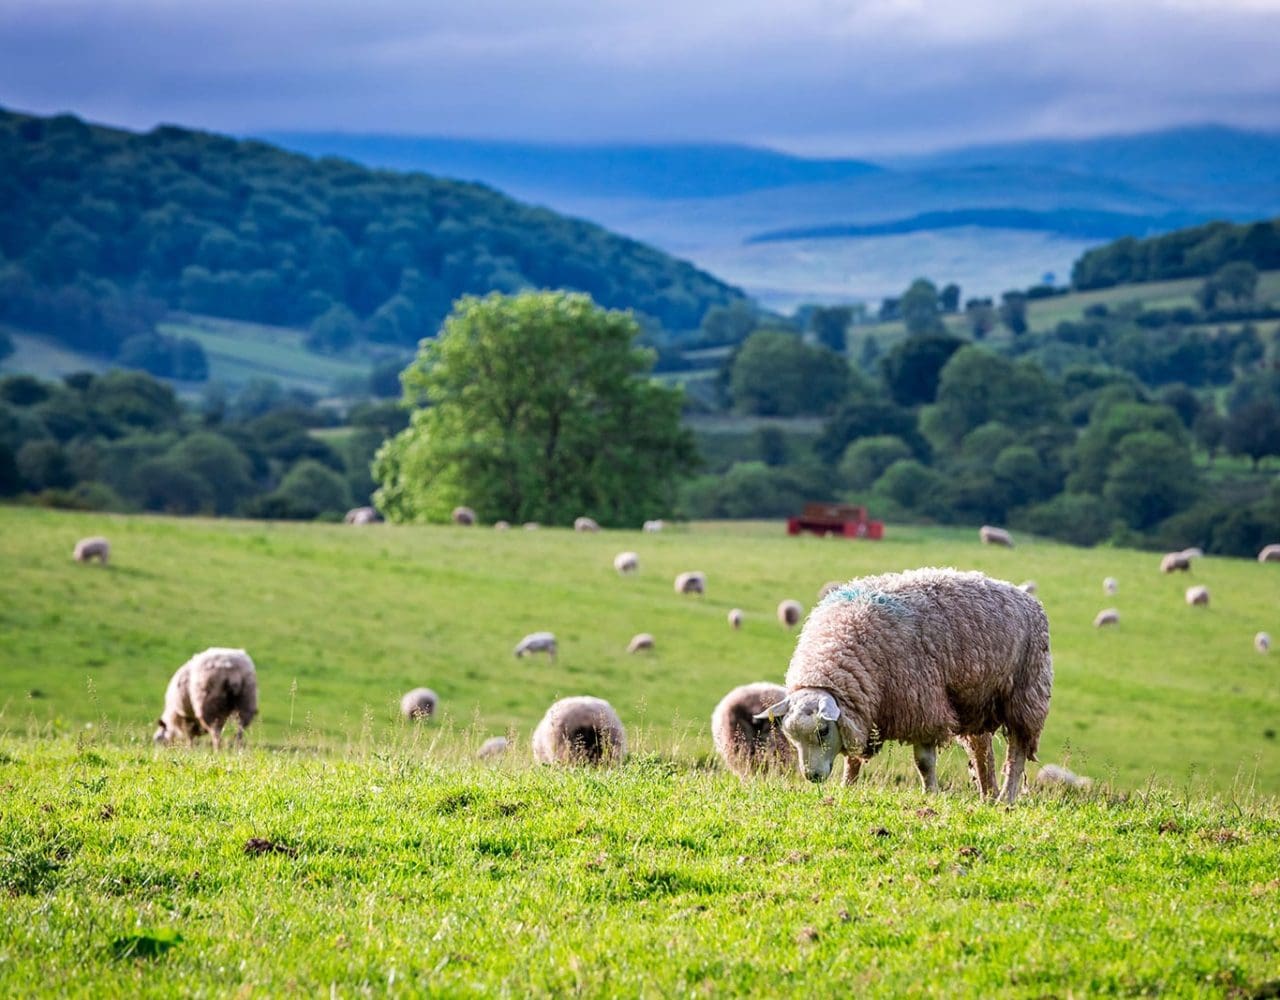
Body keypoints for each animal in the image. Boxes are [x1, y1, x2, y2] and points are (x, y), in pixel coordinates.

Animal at [752, 565, 1054, 809]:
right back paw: (988, 795)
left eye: (823, 730)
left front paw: (930, 793)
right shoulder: (865, 711)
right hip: (974, 702)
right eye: (791, 735)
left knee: (1017, 752)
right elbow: (854, 758)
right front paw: (847, 785)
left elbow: (924, 761)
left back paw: (1006, 797)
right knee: (982, 751)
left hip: (1026, 694)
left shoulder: (922, 705)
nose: (812, 777)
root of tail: (1026, 597)